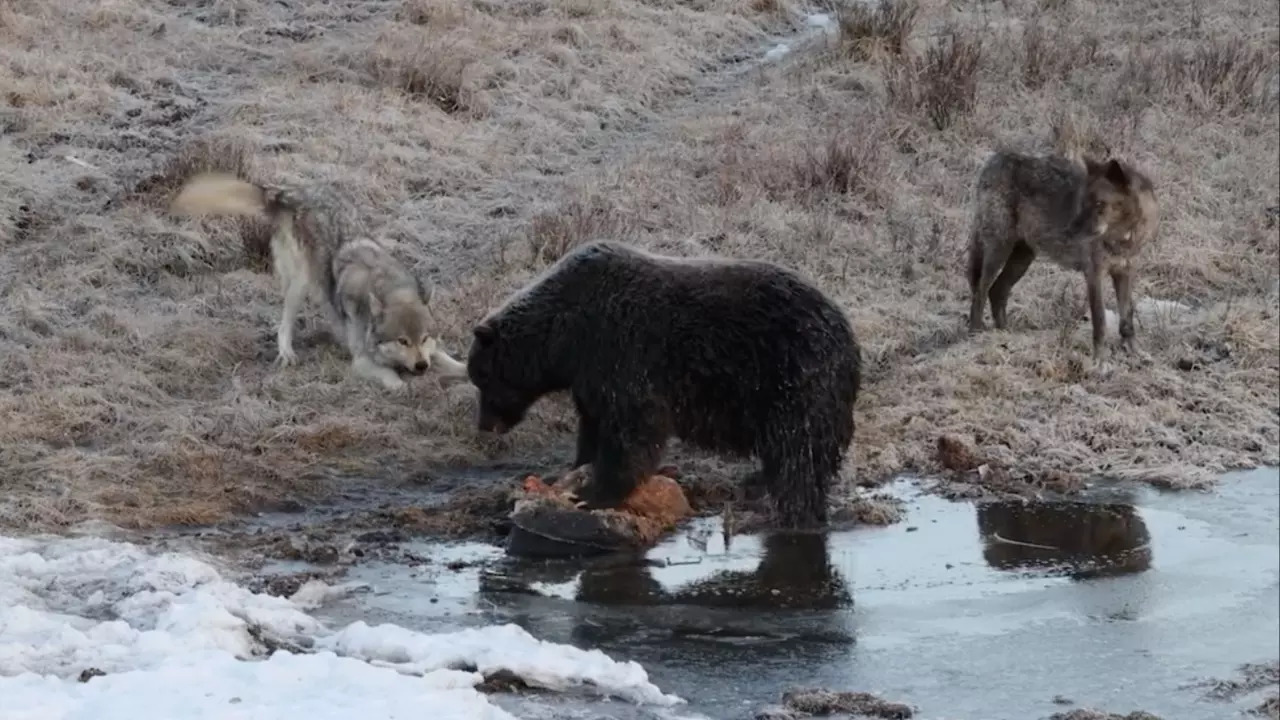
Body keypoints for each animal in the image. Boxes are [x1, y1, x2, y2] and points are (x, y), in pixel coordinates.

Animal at [167, 171, 471, 389]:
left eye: (424, 338)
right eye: (402, 341)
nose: (421, 367)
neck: (388, 287)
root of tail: (287, 192)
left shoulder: (432, 350)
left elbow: (449, 359)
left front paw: (465, 370)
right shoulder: (361, 361)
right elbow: (391, 378)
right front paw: (402, 385)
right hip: (300, 284)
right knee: (283, 325)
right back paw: (287, 353)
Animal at [460, 240, 860, 527]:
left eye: (481, 377)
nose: (485, 425)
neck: (565, 338)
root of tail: (849, 337)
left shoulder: (622, 352)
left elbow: (634, 429)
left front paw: (594, 491)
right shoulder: (590, 376)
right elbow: (594, 423)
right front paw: (577, 468)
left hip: (793, 377)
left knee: (798, 454)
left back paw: (789, 510)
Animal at [967, 149, 1162, 361]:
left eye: (1099, 204)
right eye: (1083, 203)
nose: (1070, 231)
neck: (1123, 237)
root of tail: (995, 158)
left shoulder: (1125, 272)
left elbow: (1128, 317)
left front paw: (1135, 354)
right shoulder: (1094, 274)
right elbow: (1100, 319)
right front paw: (1099, 360)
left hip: (1022, 259)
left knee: (997, 291)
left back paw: (1006, 335)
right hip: (998, 251)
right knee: (980, 291)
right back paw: (976, 334)